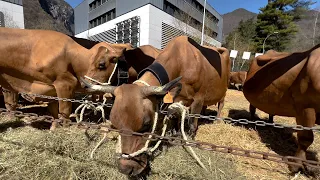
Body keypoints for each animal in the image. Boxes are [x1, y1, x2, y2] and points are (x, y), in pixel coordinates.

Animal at [80, 35, 230, 176]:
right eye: (115, 126)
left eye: (146, 125)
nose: (125, 168)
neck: (181, 61)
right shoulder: (170, 102)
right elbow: (171, 121)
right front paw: (171, 137)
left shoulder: (198, 99)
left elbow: (192, 125)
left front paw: (190, 140)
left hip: (223, 91)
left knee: (220, 104)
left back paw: (217, 119)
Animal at [242, 44, 320, 172]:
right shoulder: (306, 106)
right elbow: (306, 138)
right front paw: (296, 164)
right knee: (252, 108)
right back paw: (252, 121)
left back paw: (270, 123)